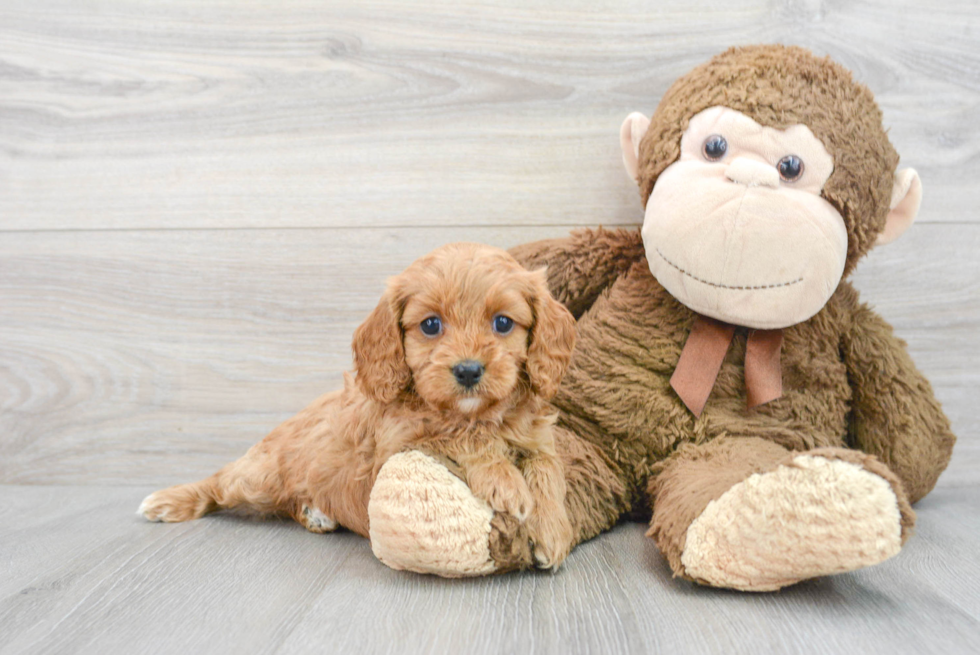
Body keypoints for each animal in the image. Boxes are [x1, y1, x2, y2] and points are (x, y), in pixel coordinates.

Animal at [142, 242, 580, 568]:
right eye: (431, 325)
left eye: (503, 323)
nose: (469, 371)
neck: (479, 413)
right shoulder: (399, 442)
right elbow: (461, 435)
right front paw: (506, 482)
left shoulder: (538, 438)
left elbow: (547, 470)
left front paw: (552, 529)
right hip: (259, 476)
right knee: (218, 482)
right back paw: (169, 500)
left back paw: (315, 513)